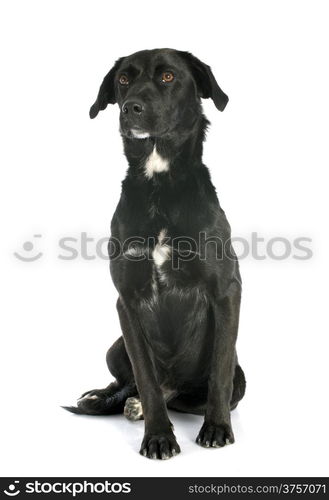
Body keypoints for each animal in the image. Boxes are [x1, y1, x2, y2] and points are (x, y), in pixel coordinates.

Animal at [63, 48, 243, 458]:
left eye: (167, 76)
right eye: (123, 80)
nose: (131, 107)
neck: (160, 184)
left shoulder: (226, 292)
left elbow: (220, 372)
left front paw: (216, 427)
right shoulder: (127, 301)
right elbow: (144, 375)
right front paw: (158, 435)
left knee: (190, 391)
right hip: (114, 347)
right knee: (134, 383)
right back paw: (111, 399)